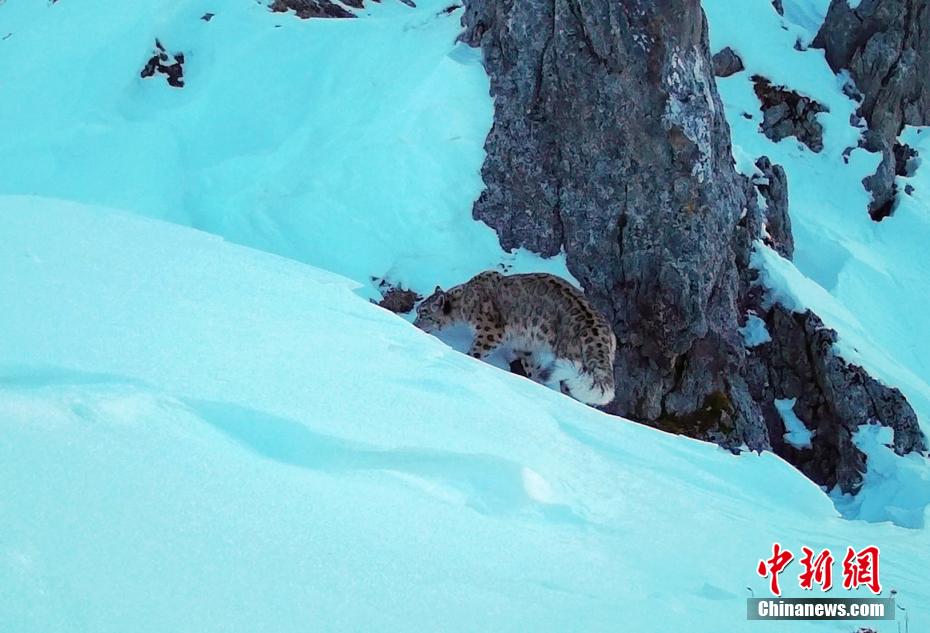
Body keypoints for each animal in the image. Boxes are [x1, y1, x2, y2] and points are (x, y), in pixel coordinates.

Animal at [414, 270, 616, 402]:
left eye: (423, 312)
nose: (414, 324)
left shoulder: (490, 332)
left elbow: (476, 352)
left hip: (569, 355)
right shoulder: (524, 346)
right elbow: (533, 367)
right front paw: (536, 383)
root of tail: (600, 333)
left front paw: (466, 358)